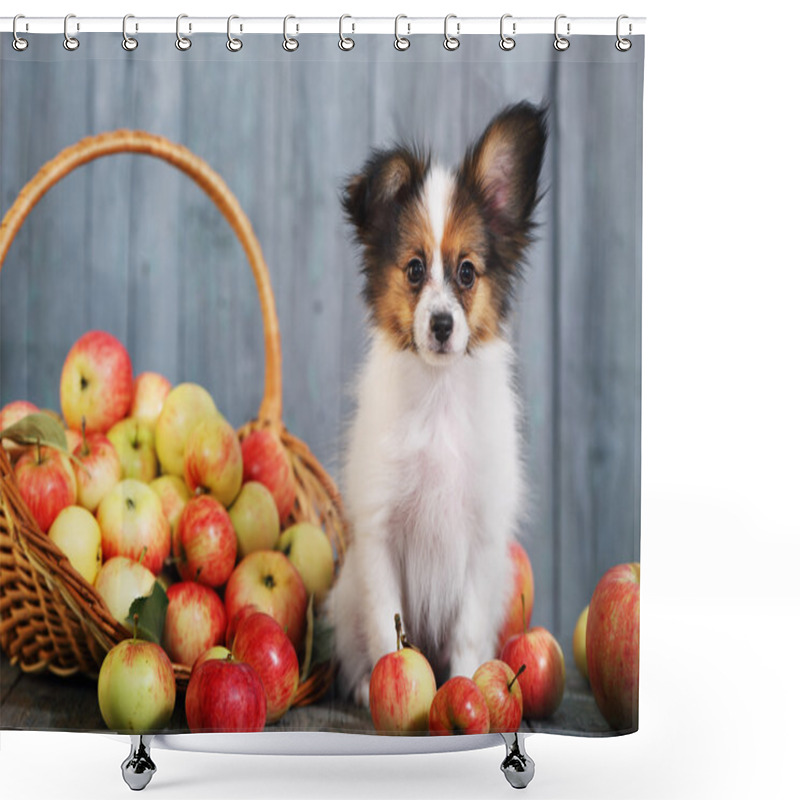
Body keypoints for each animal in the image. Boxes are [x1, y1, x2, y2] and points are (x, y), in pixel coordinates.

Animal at [328, 101, 548, 708]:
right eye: (414, 270)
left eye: (467, 272)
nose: (443, 324)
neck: (438, 393)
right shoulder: (380, 535)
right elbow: (389, 627)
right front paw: (385, 685)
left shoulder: (480, 539)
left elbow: (468, 632)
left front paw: (470, 686)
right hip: (344, 593)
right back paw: (361, 684)